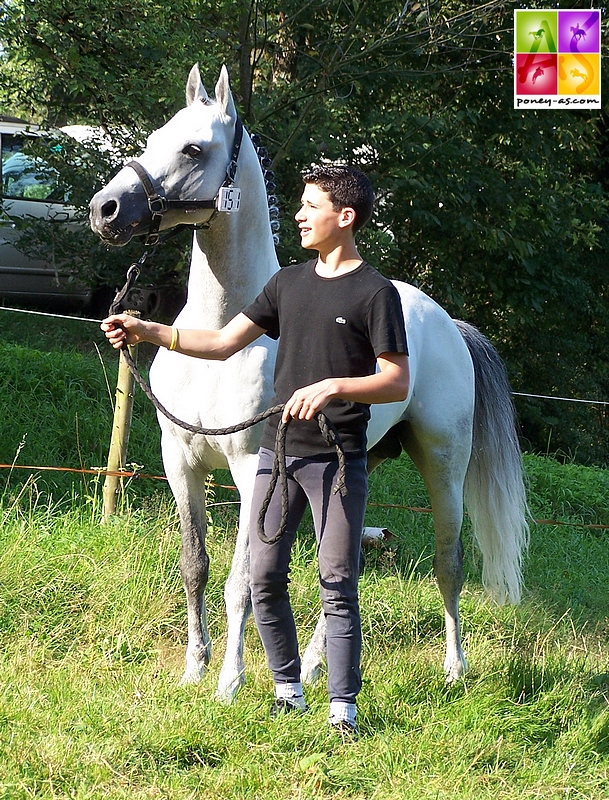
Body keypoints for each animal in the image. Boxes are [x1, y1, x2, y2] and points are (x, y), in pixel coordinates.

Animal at [89, 64, 528, 700]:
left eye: (195, 148)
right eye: (153, 137)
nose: (105, 209)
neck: (225, 335)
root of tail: (449, 324)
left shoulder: (253, 472)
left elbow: (242, 582)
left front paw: (228, 683)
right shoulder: (181, 462)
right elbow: (195, 567)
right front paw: (194, 670)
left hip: (443, 464)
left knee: (449, 562)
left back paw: (454, 669)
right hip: (350, 468)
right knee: (344, 564)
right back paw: (320, 666)